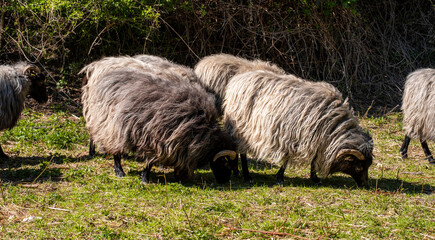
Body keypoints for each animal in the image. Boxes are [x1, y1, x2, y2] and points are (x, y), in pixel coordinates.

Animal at [81, 62, 238, 184]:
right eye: (225, 162)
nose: (224, 181)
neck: (201, 130)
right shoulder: (155, 138)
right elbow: (150, 161)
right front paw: (145, 178)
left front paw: (178, 175)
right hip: (111, 125)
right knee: (114, 149)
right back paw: (119, 170)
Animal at [223, 70, 372, 187]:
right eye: (359, 166)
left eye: (368, 165)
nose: (366, 185)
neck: (334, 127)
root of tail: (238, 79)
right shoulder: (293, 137)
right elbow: (288, 159)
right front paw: (280, 178)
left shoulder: (316, 141)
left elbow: (314, 160)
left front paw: (314, 178)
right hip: (241, 129)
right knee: (242, 153)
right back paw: (246, 176)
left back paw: (237, 172)